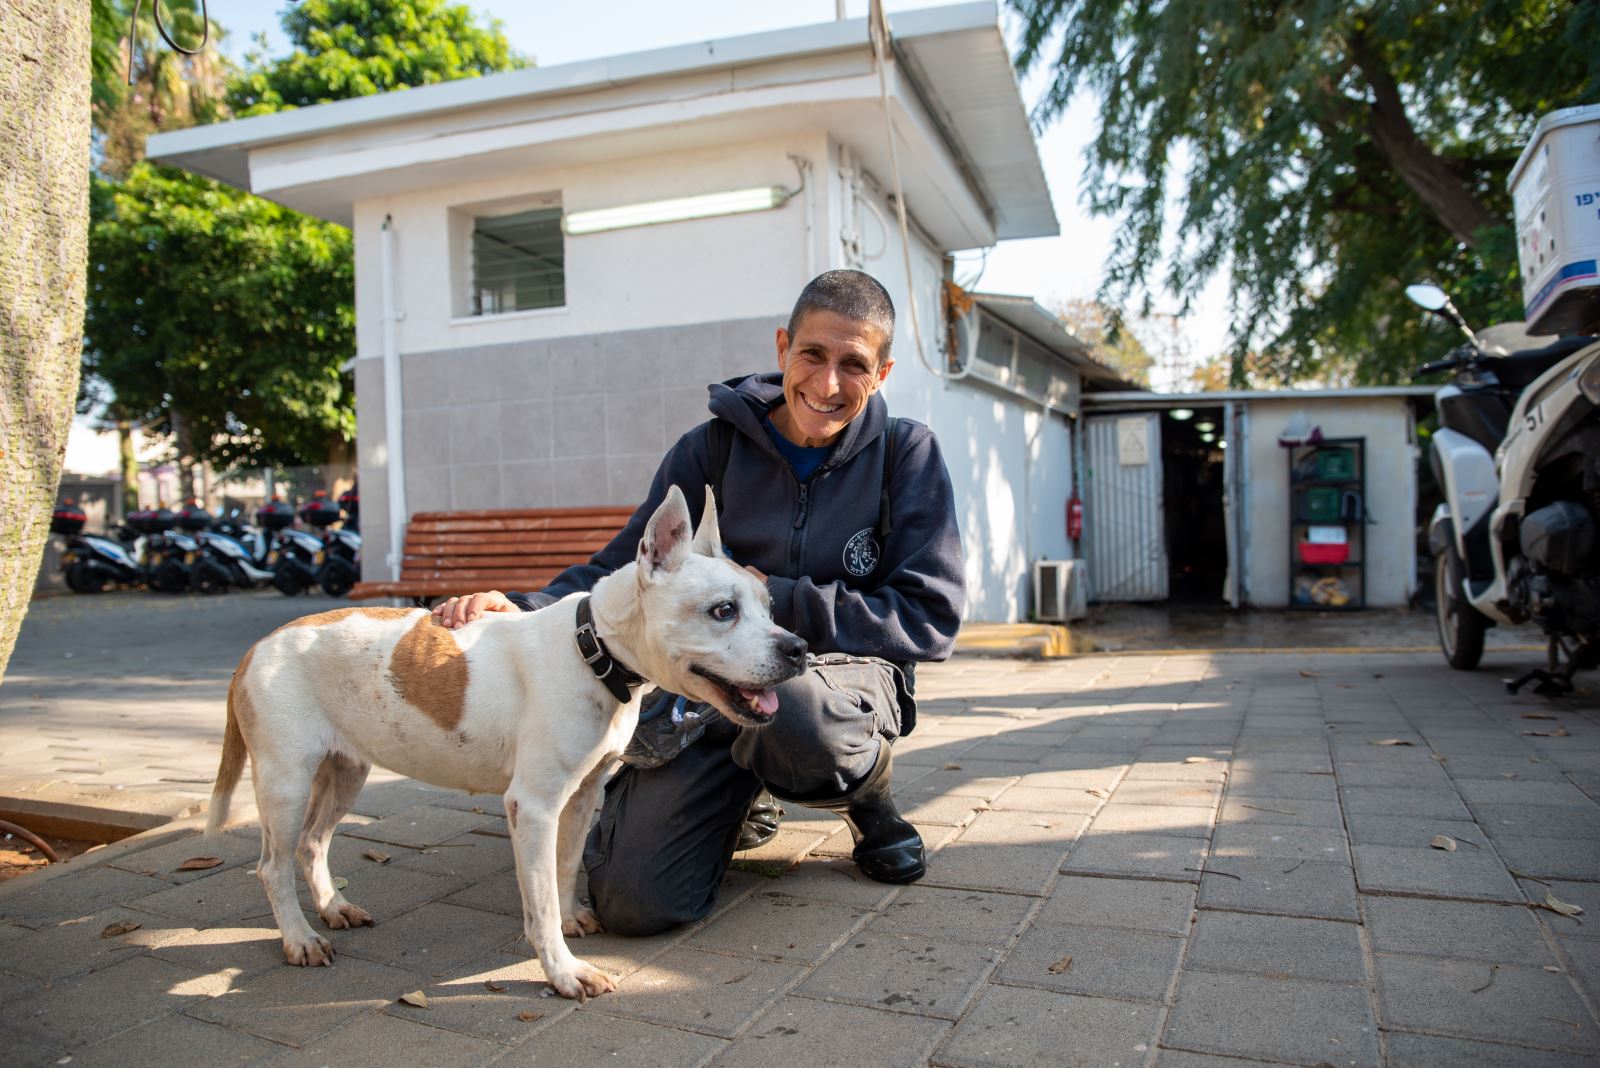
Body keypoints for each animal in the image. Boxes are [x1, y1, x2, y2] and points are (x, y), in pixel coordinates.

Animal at [209, 486, 812, 1004]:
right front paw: (563, 972)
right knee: (272, 865)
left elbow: (564, 869)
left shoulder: (583, 796)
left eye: (769, 607)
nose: (800, 648)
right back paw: (299, 939)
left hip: (345, 771)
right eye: (722, 610)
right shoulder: (534, 806)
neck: (593, 652)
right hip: (285, 782)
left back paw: (334, 908)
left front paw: (572, 919)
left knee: (312, 844)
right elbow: (539, 900)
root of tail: (257, 647)